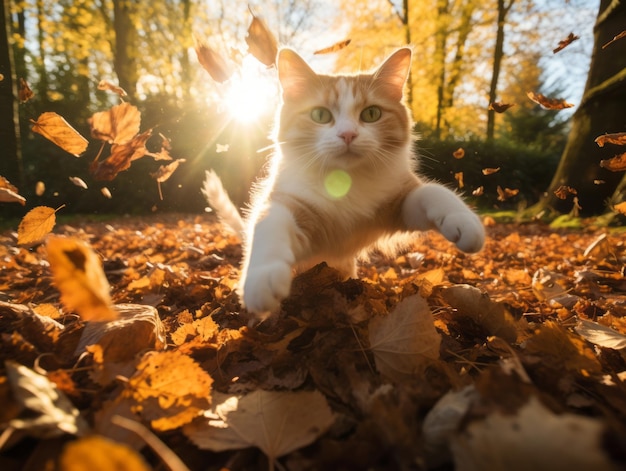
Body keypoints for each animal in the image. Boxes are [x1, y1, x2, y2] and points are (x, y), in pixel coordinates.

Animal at [202, 48, 486, 318]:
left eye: (371, 114)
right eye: (320, 115)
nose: (348, 134)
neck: (345, 182)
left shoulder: (400, 204)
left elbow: (434, 192)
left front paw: (465, 222)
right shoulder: (288, 204)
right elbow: (269, 225)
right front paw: (262, 278)